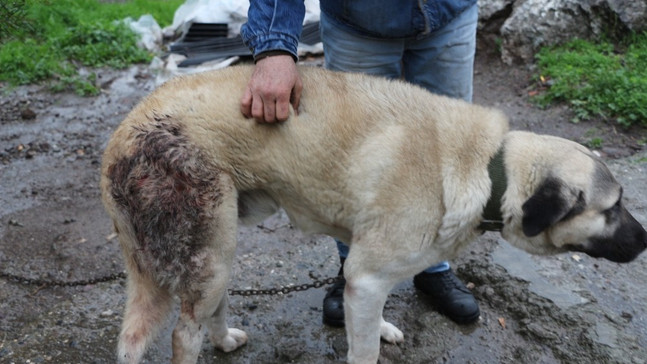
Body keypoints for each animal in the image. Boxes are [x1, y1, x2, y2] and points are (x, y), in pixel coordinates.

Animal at [101, 66, 647, 364]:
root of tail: (120, 134)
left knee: (205, 312)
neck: (489, 166)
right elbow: (363, 350)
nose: (645, 241)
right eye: (614, 206)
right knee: (180, 333)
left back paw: (225, 340)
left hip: (220, 248)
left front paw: (381, 326)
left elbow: (371, 314)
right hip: (211, 252)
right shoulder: (365, 276)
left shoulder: (365, 277)